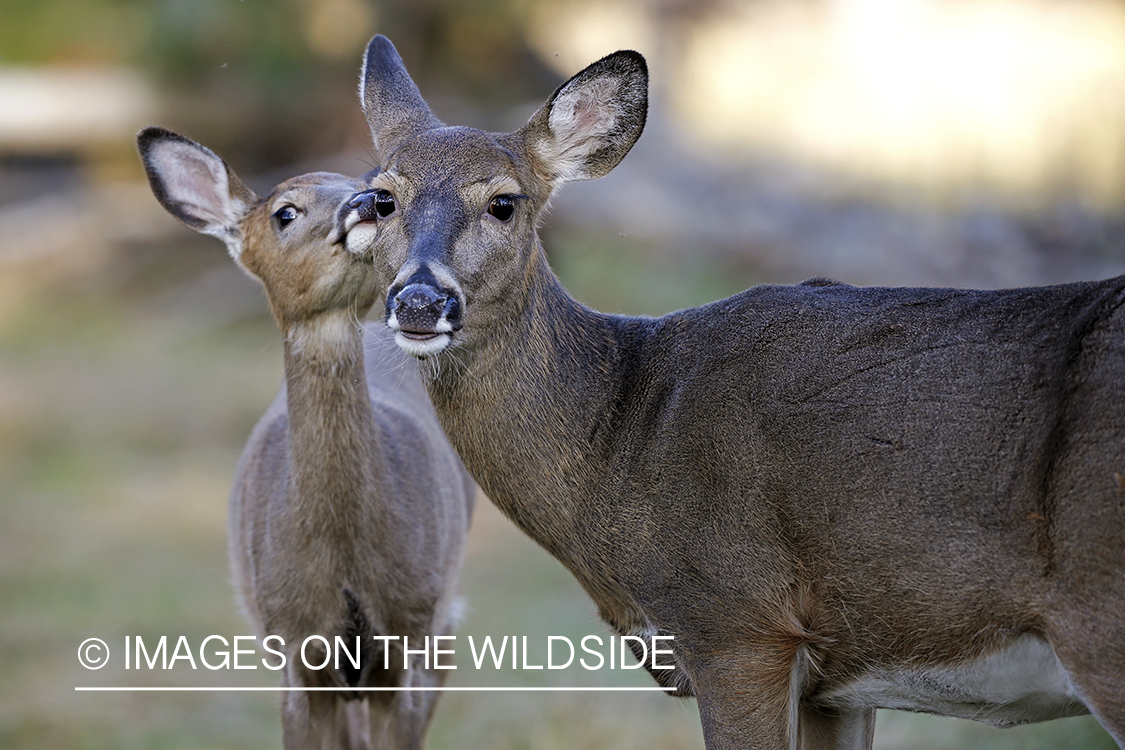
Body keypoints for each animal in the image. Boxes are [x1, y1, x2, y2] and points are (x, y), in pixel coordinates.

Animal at [137, 126, 475, 750]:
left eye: (378, 189)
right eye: (285, 211)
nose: (365, 203)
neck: (341, 555)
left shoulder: (409, 632)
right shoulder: (295, 647)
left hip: (442, 617)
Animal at [334, 35, 1125, 750]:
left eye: (503, 203)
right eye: (383, 198)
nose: (419, 302)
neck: (622, 435)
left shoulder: (736, 624)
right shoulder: (838, 679)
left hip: (1100, 626)